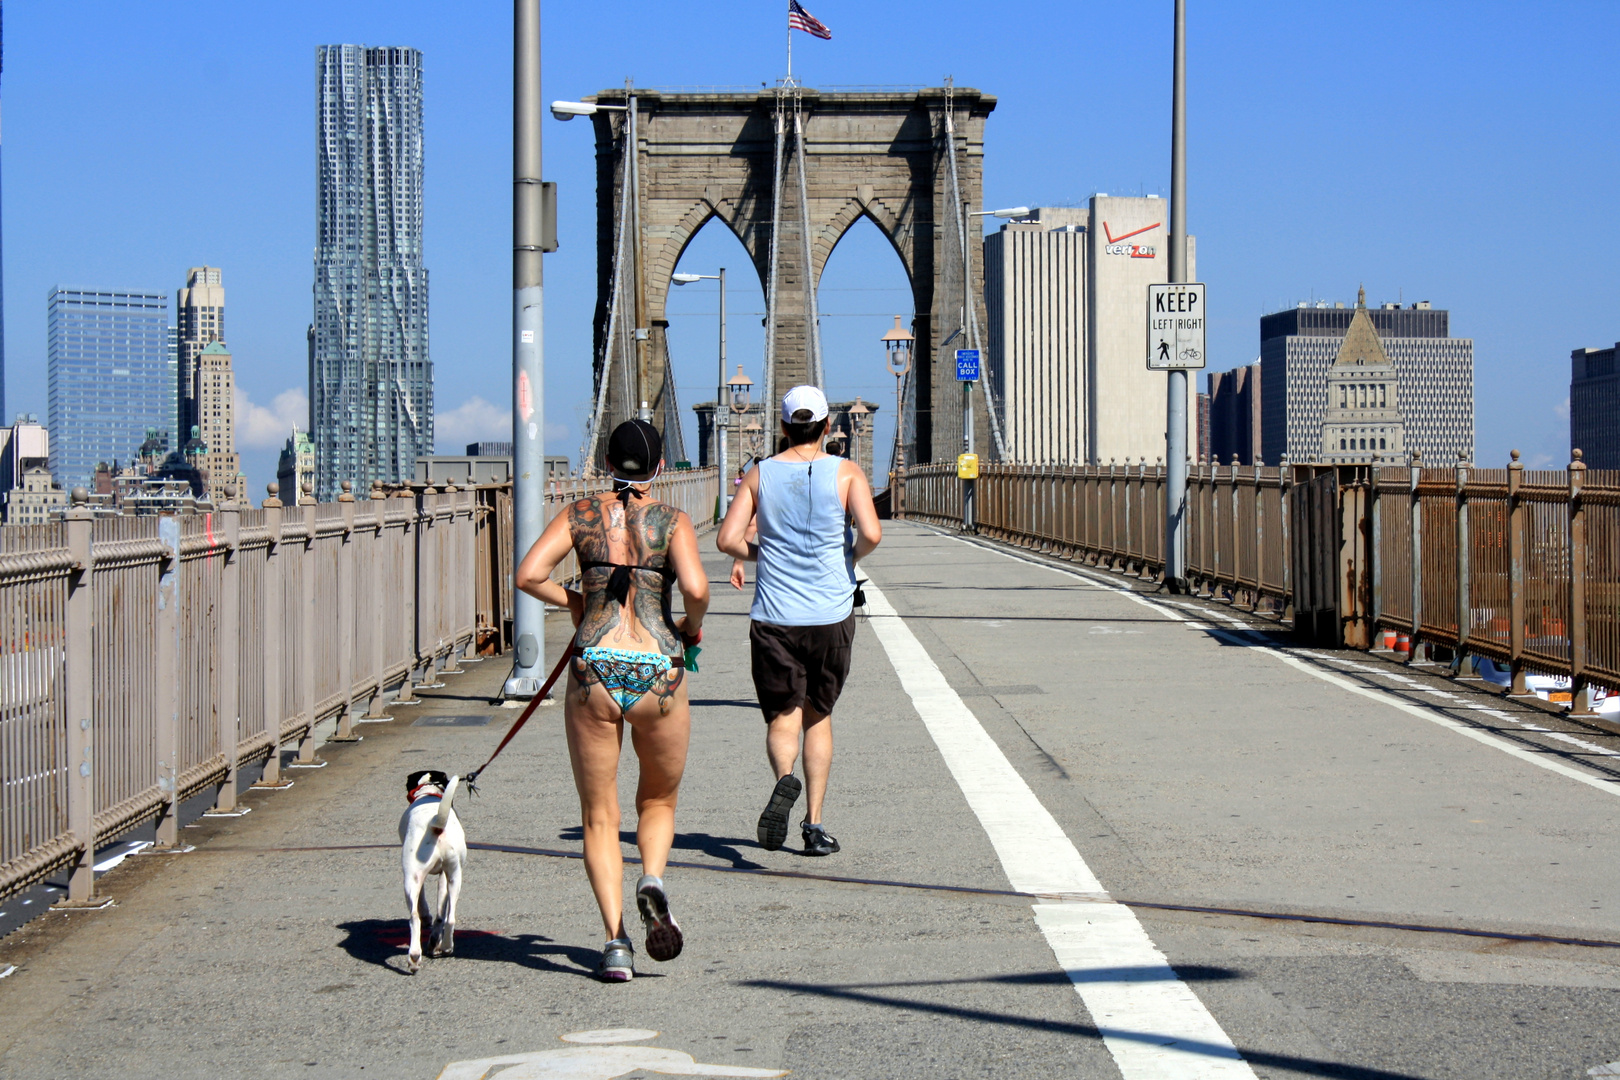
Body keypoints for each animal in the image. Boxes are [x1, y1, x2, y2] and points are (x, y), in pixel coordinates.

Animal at [400, 773, 469, 977]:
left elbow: (423, 903)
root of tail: (436, 826)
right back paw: (443, 947)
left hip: (411, 878)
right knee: (449, 917)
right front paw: (435, 942)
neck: (429, 792)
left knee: (414, 917)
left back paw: (415, 956)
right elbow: (440, 914)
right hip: (454, 876)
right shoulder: (444, 877)